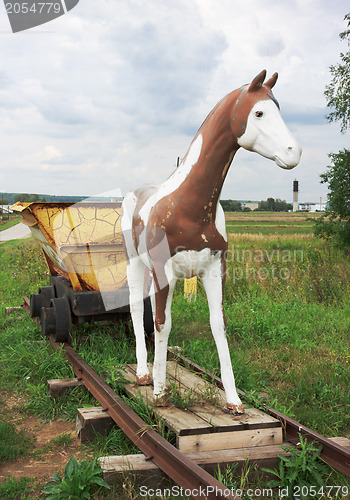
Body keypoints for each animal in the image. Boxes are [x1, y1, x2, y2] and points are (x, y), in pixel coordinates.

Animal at [121, 70, 300, 414]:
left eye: (280, 108)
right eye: (259, 113)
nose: (293, 153)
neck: (187, 205)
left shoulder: (215, 269)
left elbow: (218, 324)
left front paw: (234, 400)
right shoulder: (165, 271)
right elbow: (163, 322)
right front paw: (161, 393)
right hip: (135, 263)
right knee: (137, 306)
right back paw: (143, 374)